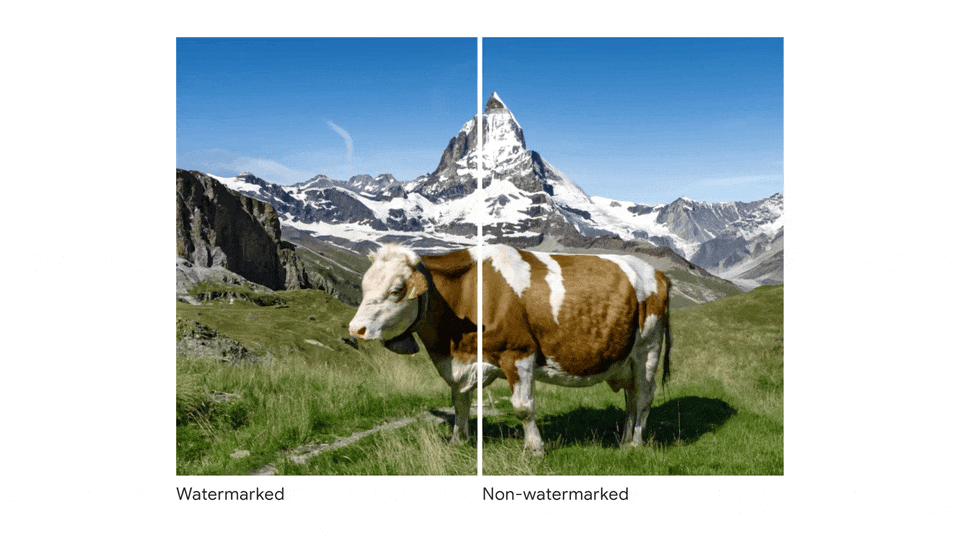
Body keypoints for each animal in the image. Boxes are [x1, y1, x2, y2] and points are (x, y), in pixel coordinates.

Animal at [348, 243, 671, 455]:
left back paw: (636, 443)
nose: (355, 329)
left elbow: (523, 407)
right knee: (631, 400)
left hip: (648, 350)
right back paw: (624, 440)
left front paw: (535, 448)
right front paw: (458, 440)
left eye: (396, 290)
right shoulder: (461, 363)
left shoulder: (519, 353)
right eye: (363, 287)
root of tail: (657, 273)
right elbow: (460, 402)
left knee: (644, 397)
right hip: (625, 359)